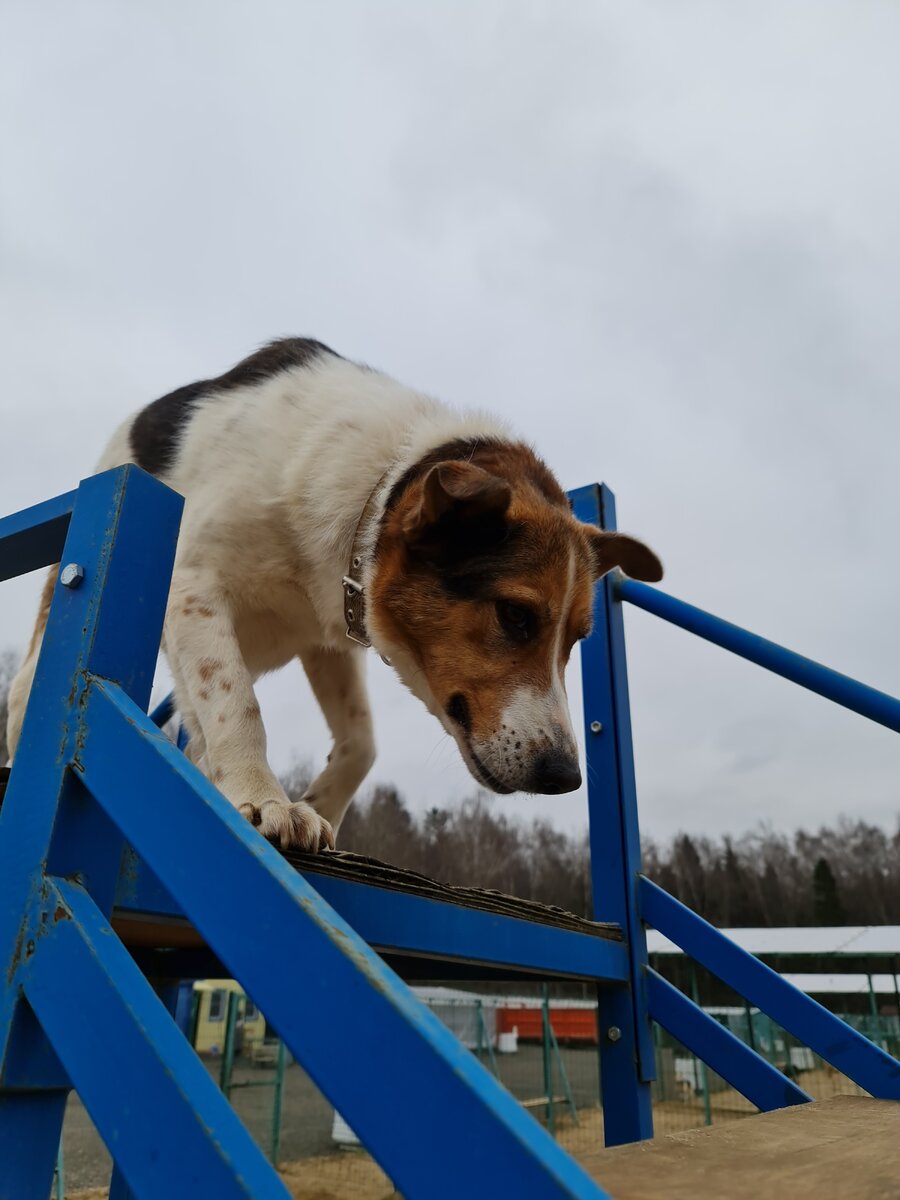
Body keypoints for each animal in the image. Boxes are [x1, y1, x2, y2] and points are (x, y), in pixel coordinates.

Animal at [5, 340, 662, 854]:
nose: (564, 777)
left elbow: (361, 744)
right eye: (515, 615)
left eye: (576, 640)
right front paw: (262, 800)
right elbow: (237, 702)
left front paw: (315, 802)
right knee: (25, 692)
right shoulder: (192, 587)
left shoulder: (329, 637)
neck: (378, 483)